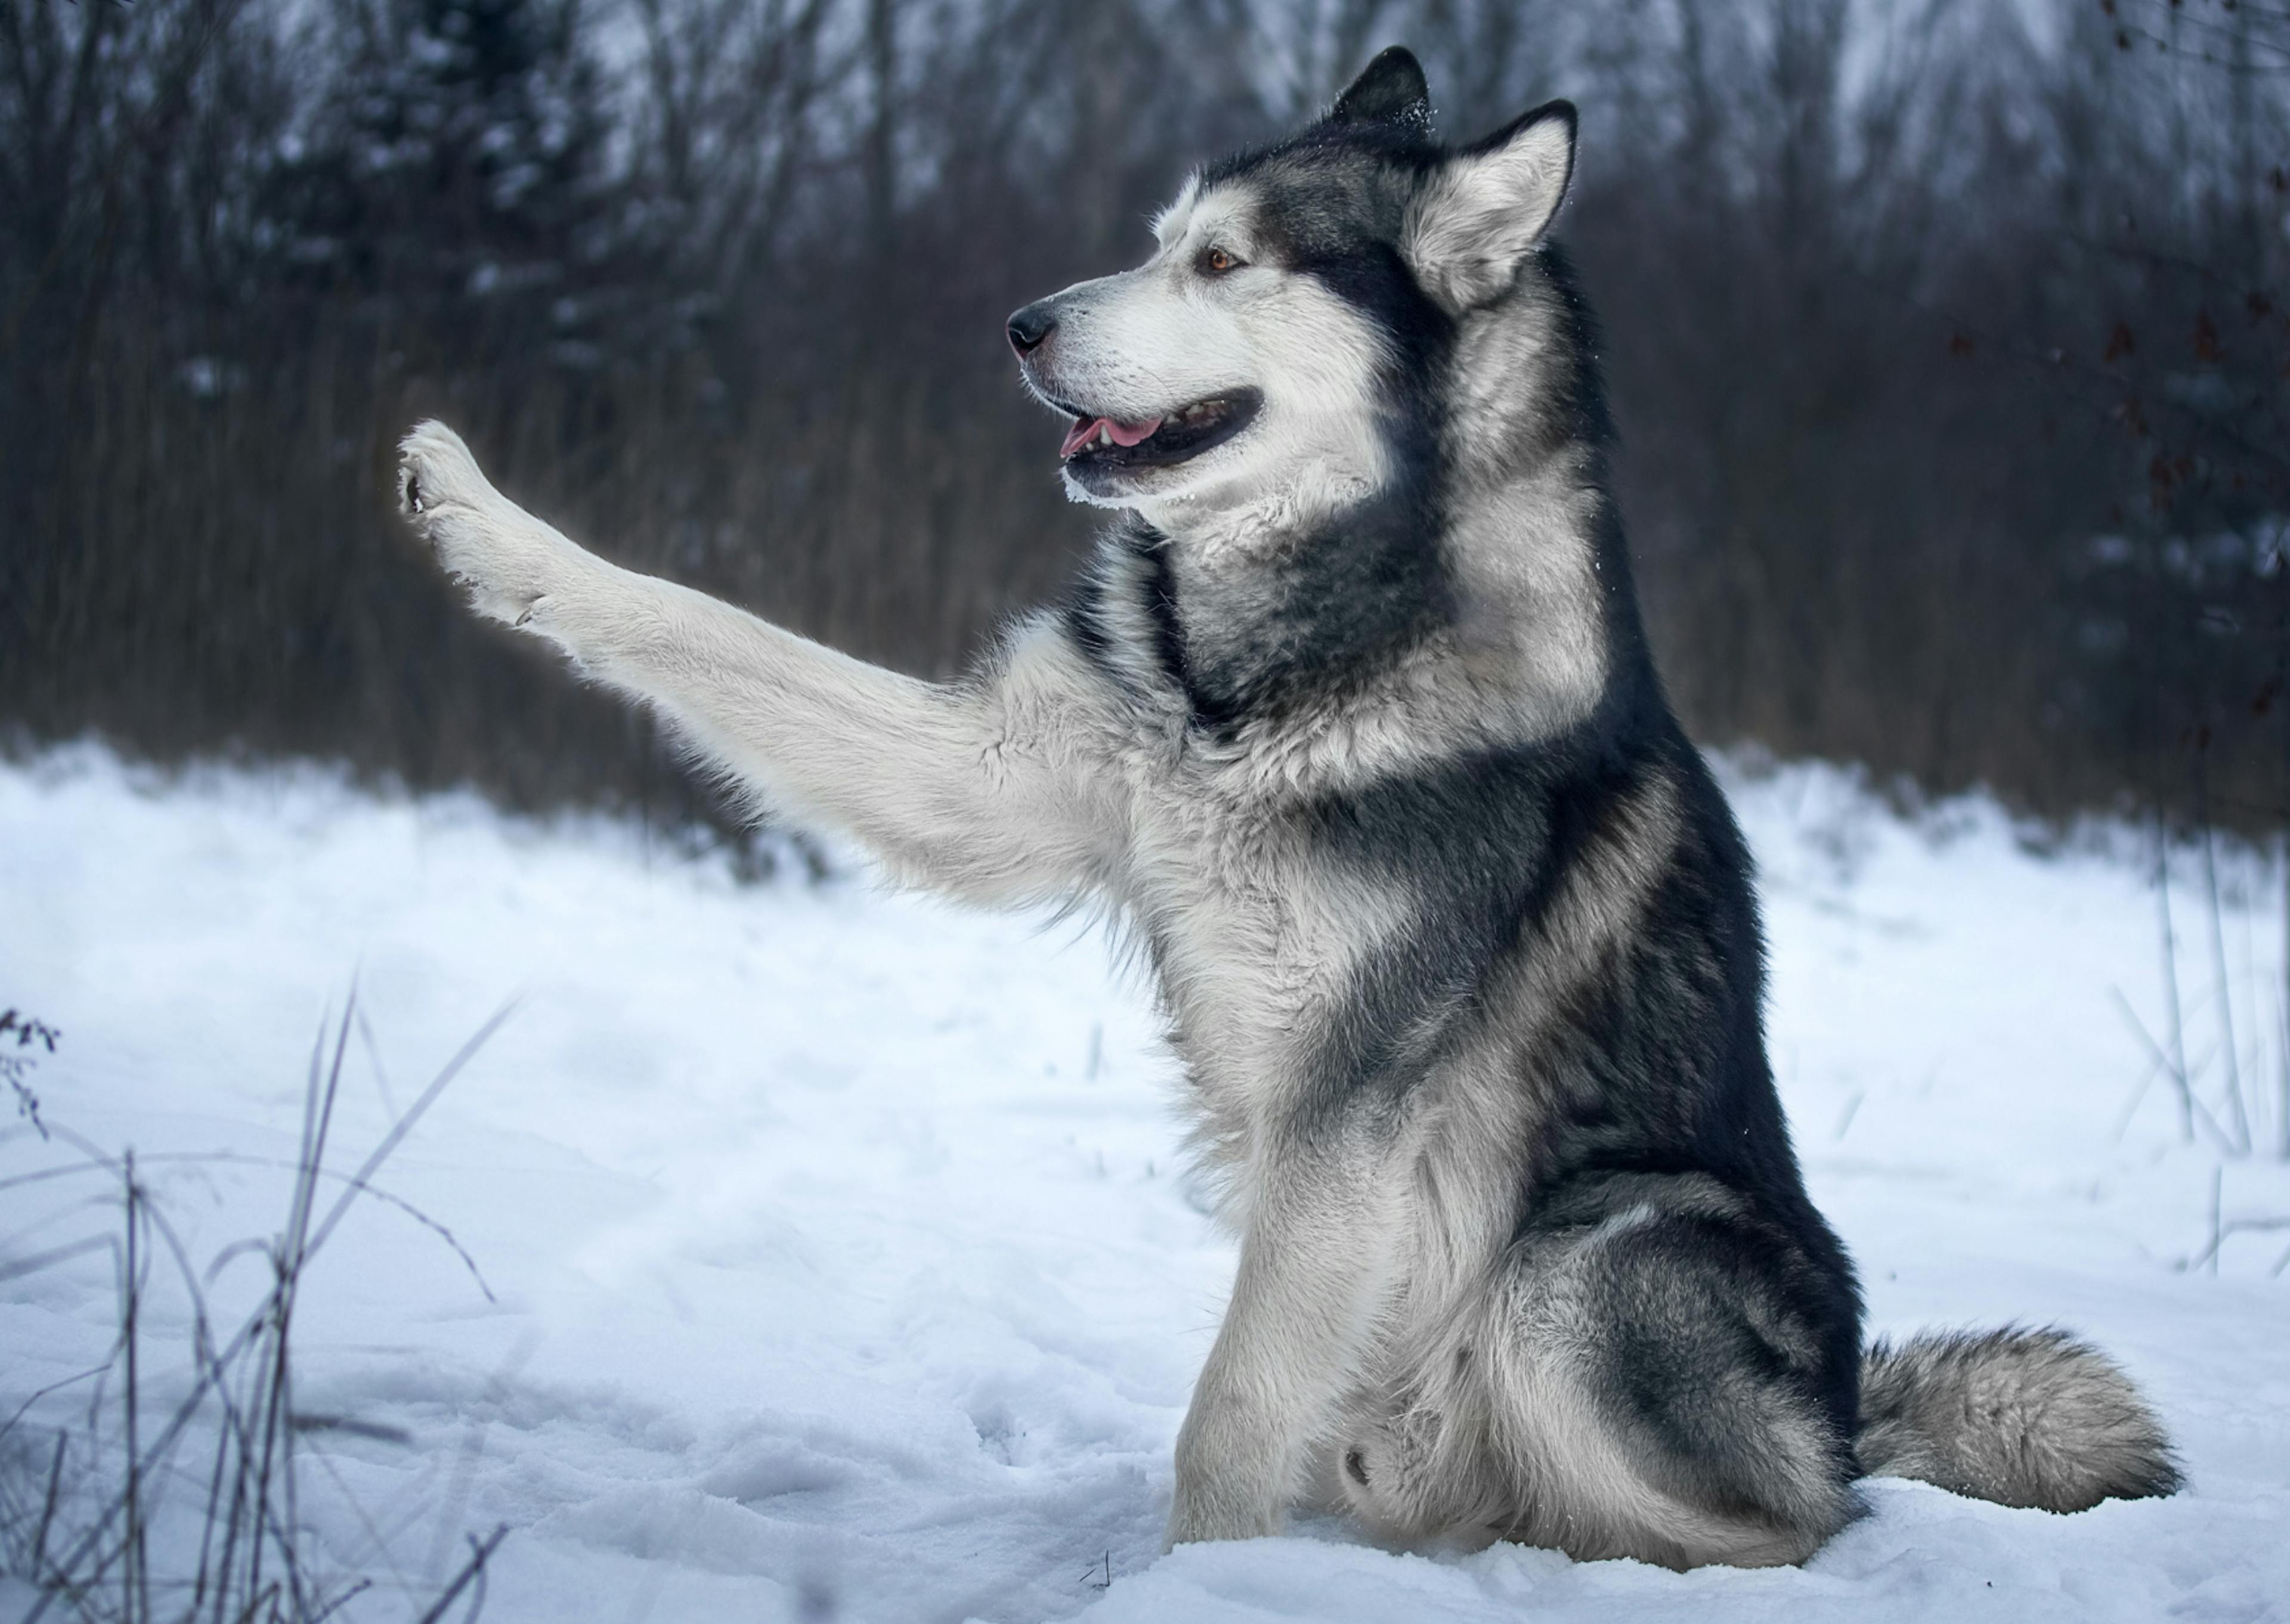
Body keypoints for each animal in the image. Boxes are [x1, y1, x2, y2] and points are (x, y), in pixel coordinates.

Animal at [398, 51, 2180, 1566]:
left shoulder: (1349, 1122)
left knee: (1781, 1521)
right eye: (1155, 244)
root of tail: (1848, 1421)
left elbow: (1226, 1421)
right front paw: (483, 522)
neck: (1266, 682)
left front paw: (1193, 1586)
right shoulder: (1001, 778)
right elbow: (691, 619)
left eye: (1224, 264)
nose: (1020, 325)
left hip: (1583, 1265)